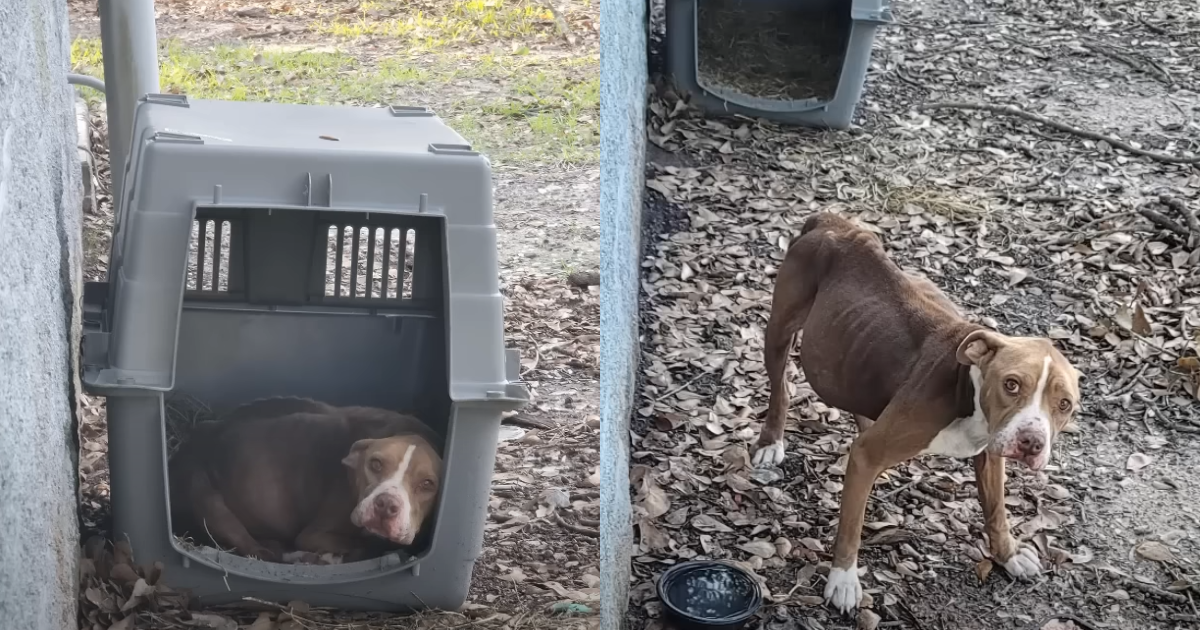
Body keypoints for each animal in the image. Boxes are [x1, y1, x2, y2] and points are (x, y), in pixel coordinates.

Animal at [170, 396, 446, 561]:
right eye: (375, 463)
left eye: (428, 484)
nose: (386, 505)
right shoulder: (314, 534)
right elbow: (361, 545)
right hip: (206, 497)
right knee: (251, 545)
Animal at [748, 213, 1080, 612]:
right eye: (1012, 384)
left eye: (1064, 405)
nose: (1032, 442)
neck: (966, 389)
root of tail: (834, 221)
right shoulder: (872, 453)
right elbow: (851, 525)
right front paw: (843, 579)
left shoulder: (990, 454)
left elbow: (997, 510)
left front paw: (1008, 555)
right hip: (780, 330)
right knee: (781, 386)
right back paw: (772, 440)